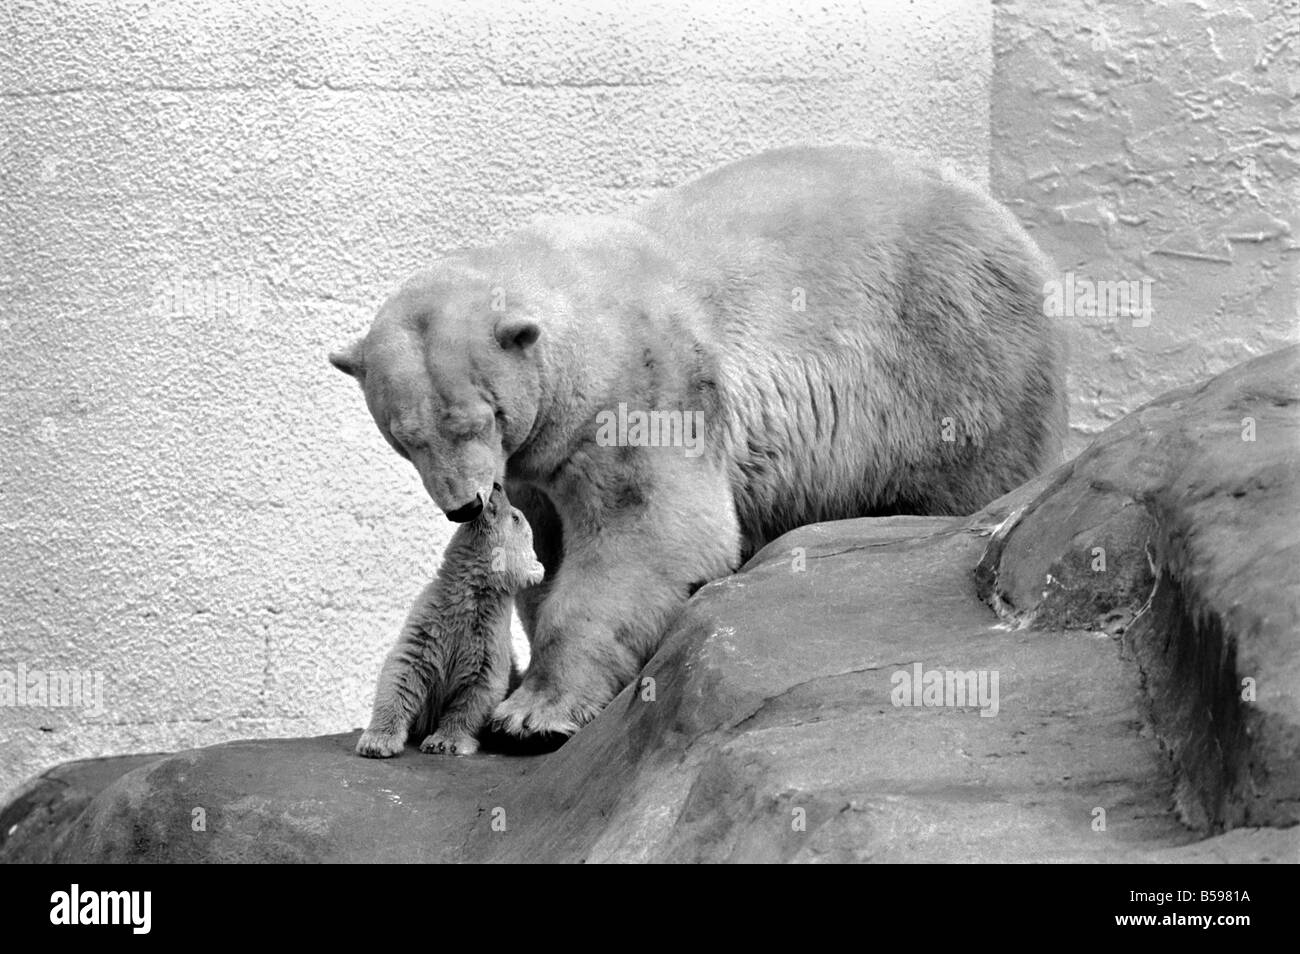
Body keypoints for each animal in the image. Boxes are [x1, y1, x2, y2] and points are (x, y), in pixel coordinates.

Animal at [355, 482, 544, 758]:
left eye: (516, 517)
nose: (497, 485)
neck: (471, 590)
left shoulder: (487, 638)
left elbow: (478, 690)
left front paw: (445, 742)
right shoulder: (427, 622)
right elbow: (402, 671)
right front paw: (377, 741)